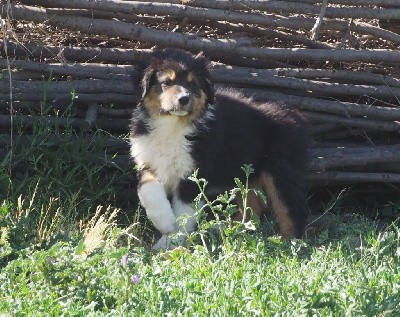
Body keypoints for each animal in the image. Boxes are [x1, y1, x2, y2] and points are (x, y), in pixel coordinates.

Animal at [130, 48, 310, 249]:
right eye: (166, 82)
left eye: (193, 84)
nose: (184, 98)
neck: (171, 126)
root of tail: (295, 115)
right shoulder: (148, 160)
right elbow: (147, 189)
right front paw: (165, 223)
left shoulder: (193, 174)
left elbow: (183, 212)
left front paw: (170, 240)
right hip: (241, 172)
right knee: (255, 207)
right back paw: (226, 227)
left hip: (279, 171)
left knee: (291, 208)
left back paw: (289, 243)